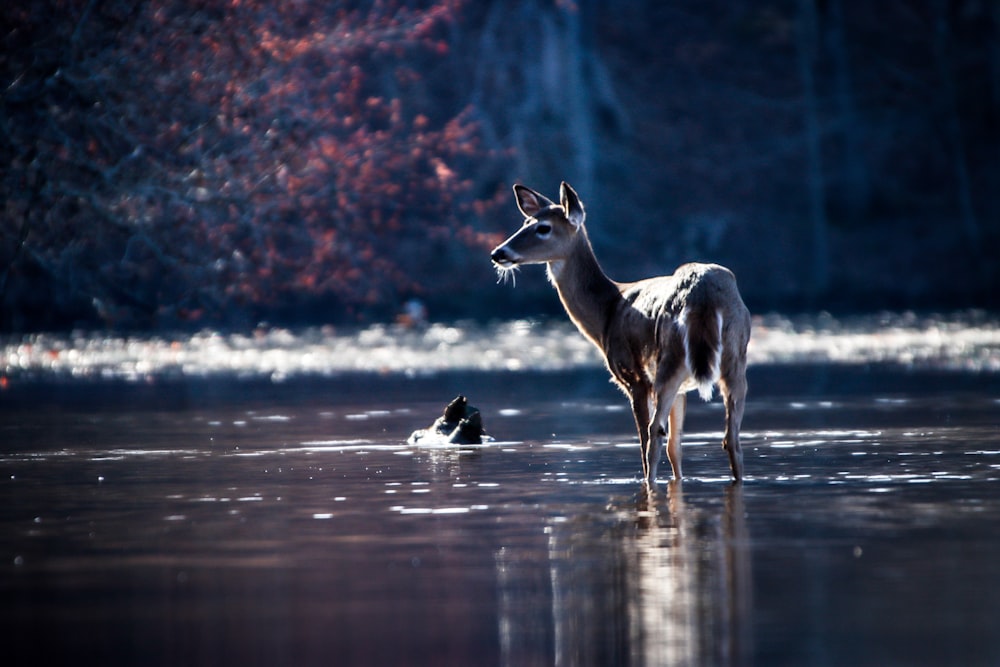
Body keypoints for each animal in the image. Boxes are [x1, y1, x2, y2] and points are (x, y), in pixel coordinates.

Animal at [492, 183, 752, 486]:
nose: (498, 253)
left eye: (543, 228)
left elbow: (649, 440)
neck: (608, 311)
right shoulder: (681, 391)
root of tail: (704, 296)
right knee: (730, 439)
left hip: (669, 362)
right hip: (735, 359)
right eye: (524, 223)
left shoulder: (633, 377)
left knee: (653, 436)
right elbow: (676, 448)